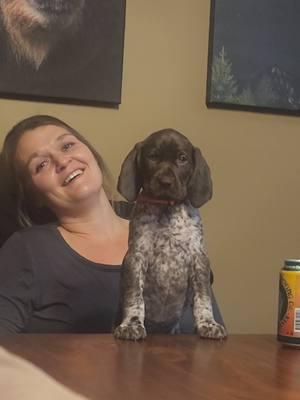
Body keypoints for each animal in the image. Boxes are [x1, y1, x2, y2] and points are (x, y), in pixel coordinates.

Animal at [113, 129, 226, 340]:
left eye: (182, 159)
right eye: (152, 156)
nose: (165, 182)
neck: (167, 210)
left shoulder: (199, 260)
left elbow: (203, 297)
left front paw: (208, 323)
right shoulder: (135, 258)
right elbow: (134, 297)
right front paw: (132, 324)